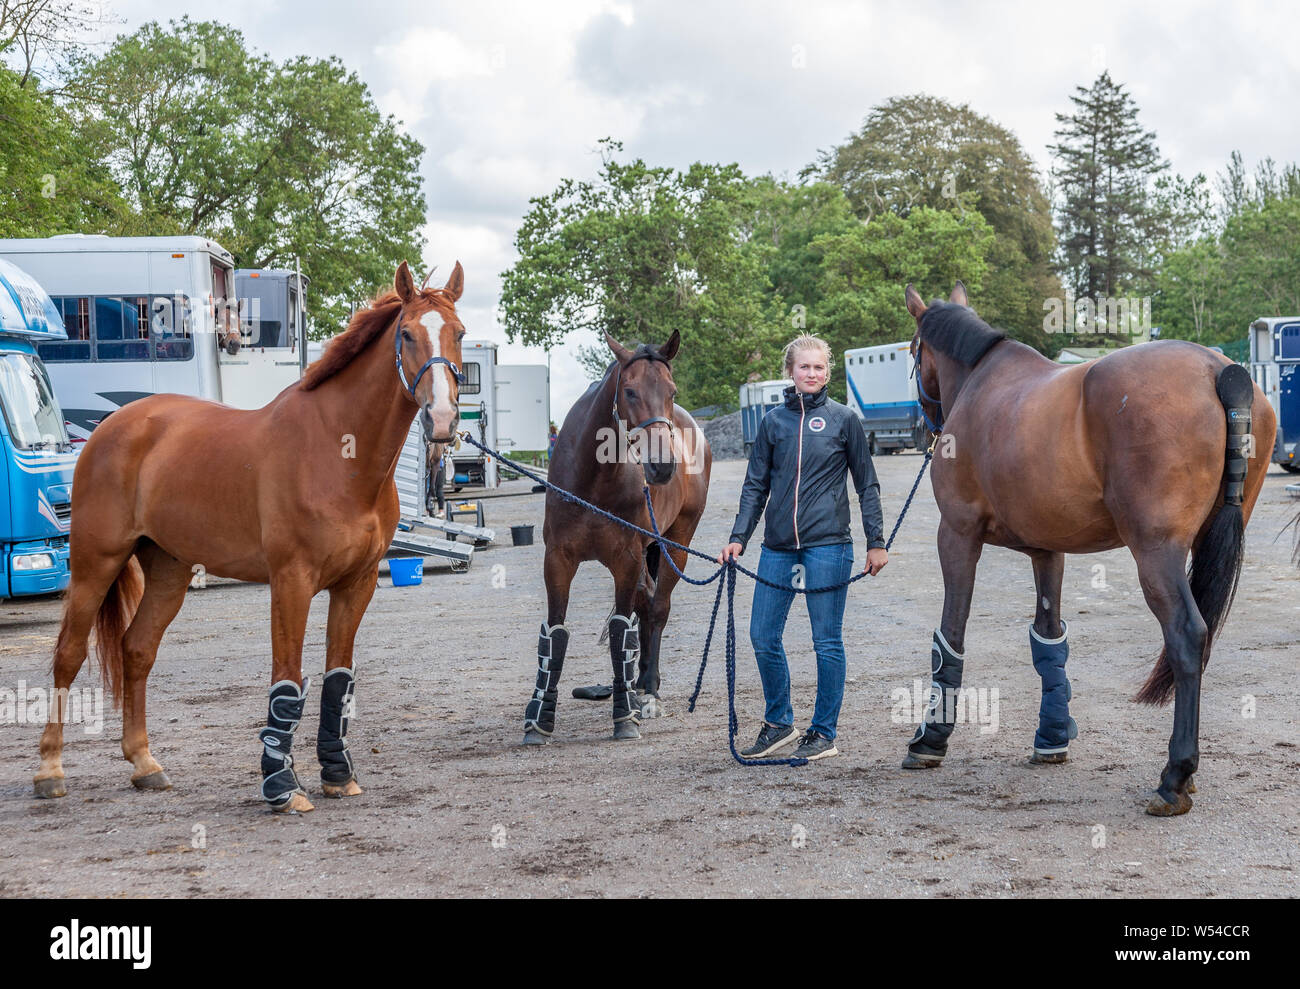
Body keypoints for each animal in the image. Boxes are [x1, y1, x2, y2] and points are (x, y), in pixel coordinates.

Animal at [31, 259, 473, 810]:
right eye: (408, 333)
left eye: (460, 333)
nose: (442, 419)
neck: (338, 450)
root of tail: (111, 429)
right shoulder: (291, 581)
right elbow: (286, 677)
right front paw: (281, 786)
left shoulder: (359, 583)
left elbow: (337, 678)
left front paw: (336, 774)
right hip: (97, 561)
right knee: (68, 654)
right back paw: (50, 770)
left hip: (168, 570)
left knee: (137, 650)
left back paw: (145, 763)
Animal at [522, 330, 717, 738]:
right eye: (629, 391)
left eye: (672, 391)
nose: (662, 466)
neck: (593, 481)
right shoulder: (558, 560)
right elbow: (556, 632)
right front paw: (540, 717)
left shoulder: (626, 561)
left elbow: (619, 629)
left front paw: (623, 714)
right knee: (645, 605)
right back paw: (638, 683)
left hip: (677, 542)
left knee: (656, 609)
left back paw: (649, 692)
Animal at [899, 282, 1274, 816]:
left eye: (913, 353)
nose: (919, 429)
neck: (980, 383)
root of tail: (1219, 370)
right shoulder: (1046, 550)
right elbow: (1048, 640)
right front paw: (1052, 737)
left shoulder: (956, 534)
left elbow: (950, 635)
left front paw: (930, 739)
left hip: (1156, 553)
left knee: (1187, 635)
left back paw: (1175, 776)